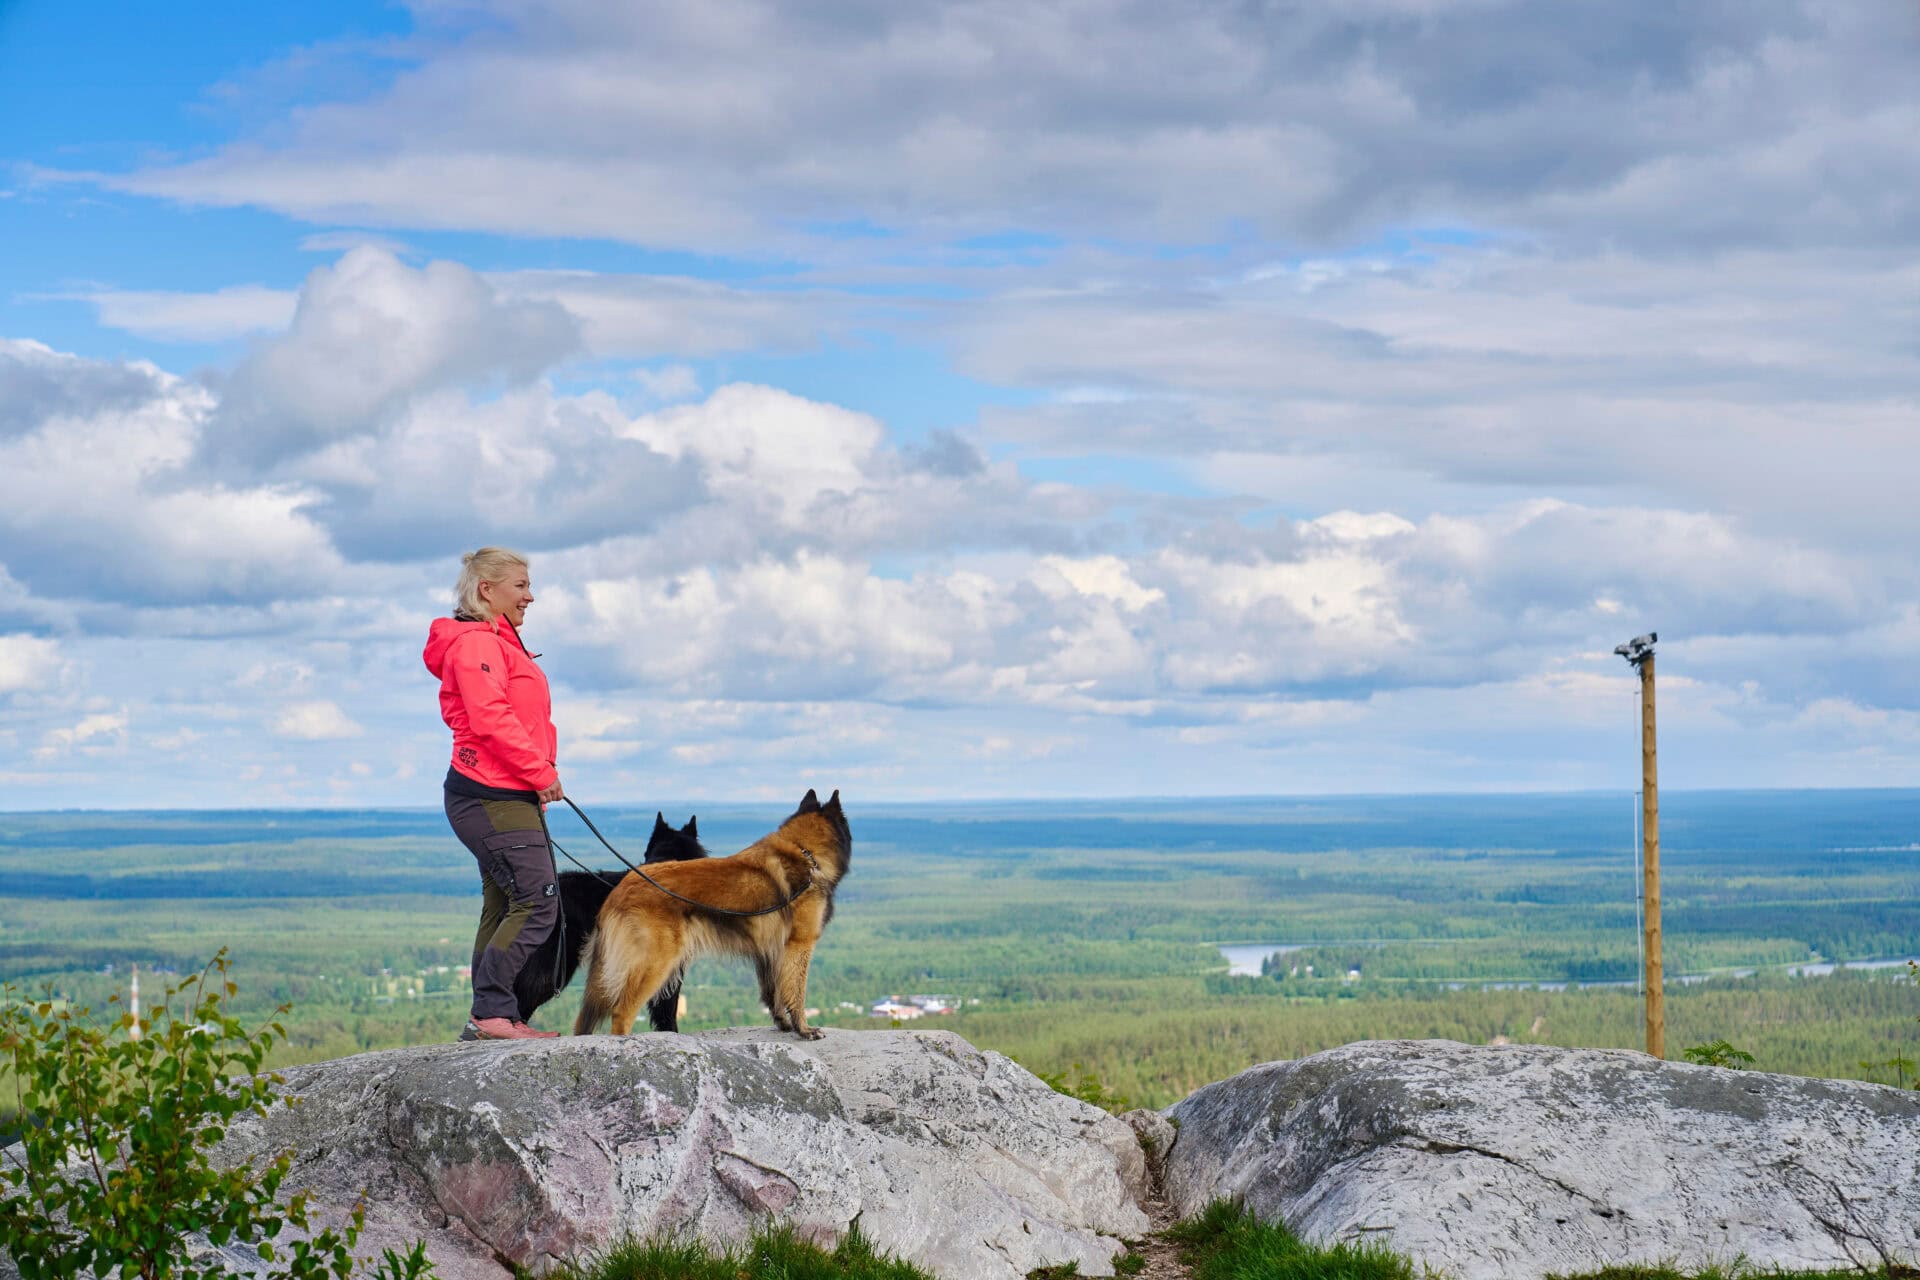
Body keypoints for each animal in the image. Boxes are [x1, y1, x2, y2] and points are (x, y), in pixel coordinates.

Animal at [572, 790, 852, 1043]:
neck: (806, 853)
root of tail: (619, 890)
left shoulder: (770, 951)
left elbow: (774, 992)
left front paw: (783, 1024)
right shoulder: (798, 945)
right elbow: (796, 991)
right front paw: (804, 1030)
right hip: (656, 963)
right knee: (621, 1013)